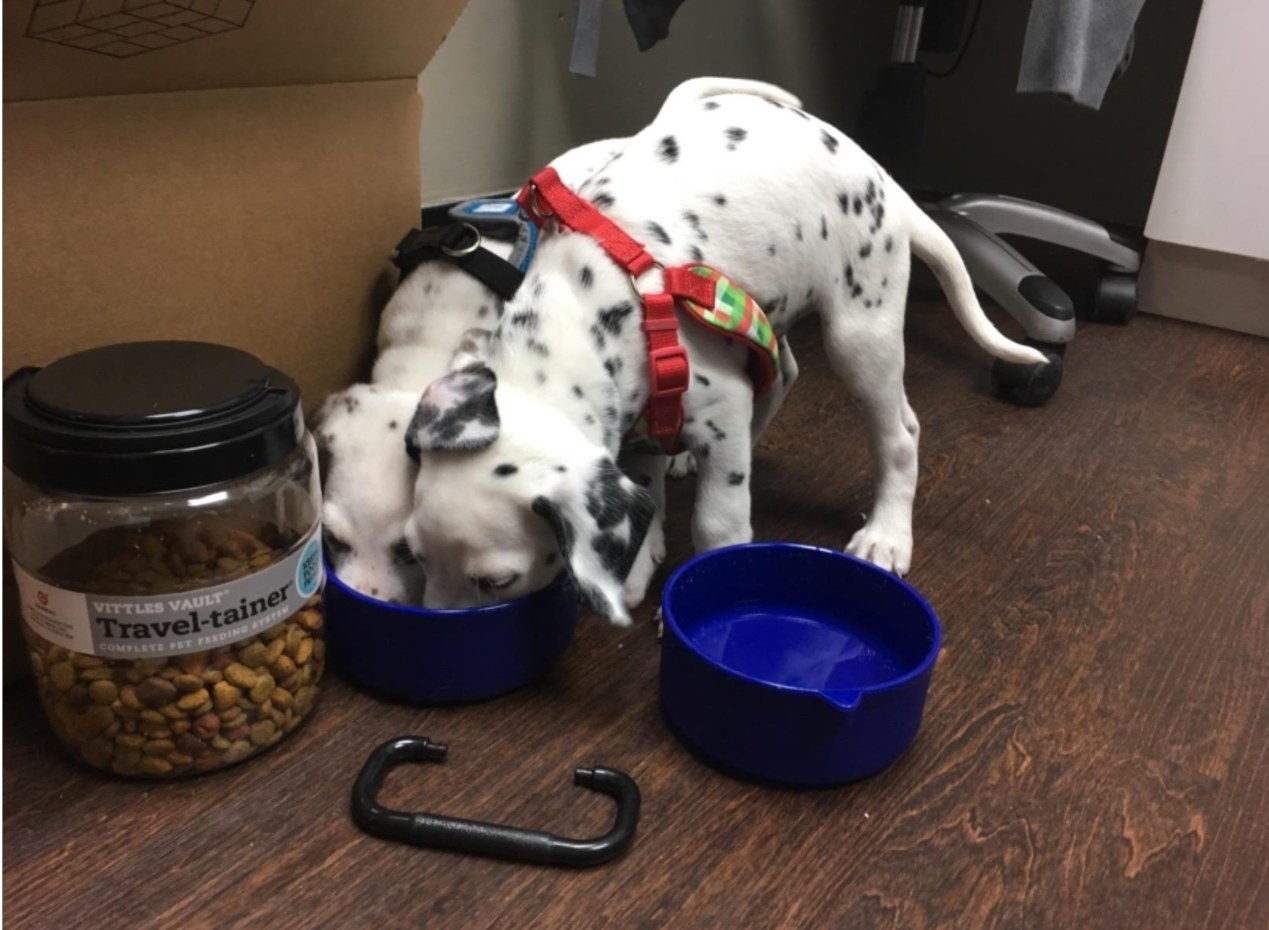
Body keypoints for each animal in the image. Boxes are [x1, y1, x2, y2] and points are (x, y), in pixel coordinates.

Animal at [401, 74, 1045, 624]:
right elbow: (646, 481)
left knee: (900, 432)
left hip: (861, 331)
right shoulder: (645, 413)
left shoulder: (718, 405)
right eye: (415, 555)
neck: (585, 309)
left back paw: (886, 533)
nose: (434, 621)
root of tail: (889, 181)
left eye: (495, 582)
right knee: (784, 375)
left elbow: (717, 519)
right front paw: (643, 551)